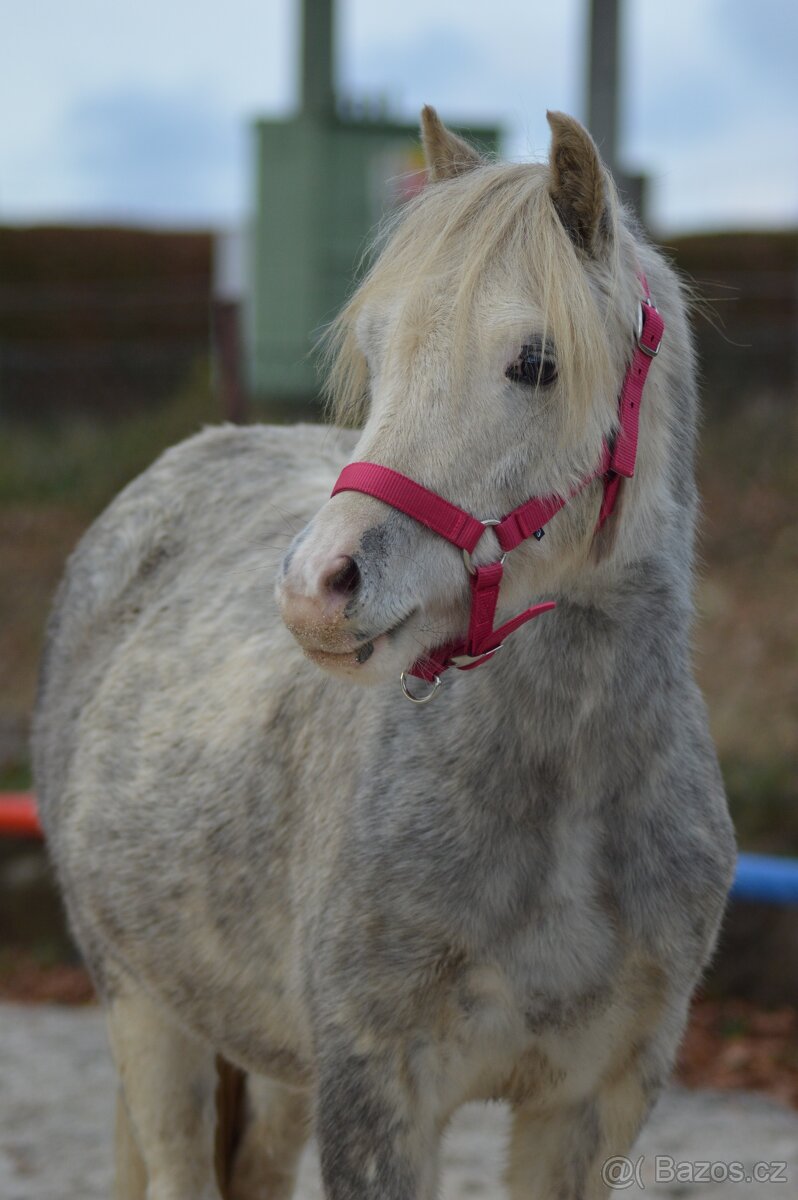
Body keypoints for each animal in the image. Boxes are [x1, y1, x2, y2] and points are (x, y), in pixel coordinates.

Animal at [33, 107, 735, 1200]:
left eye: (537, 362)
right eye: (377, 348)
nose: (314, 585)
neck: (568, 801)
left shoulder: (595, 1102)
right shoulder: (376, 1094)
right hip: (146, 1012)